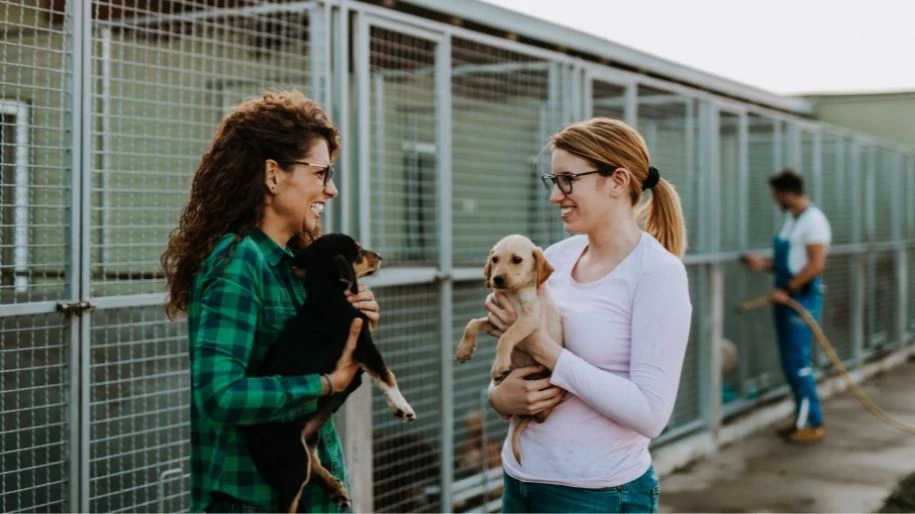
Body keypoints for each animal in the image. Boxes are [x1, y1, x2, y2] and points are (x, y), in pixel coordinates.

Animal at [243, 234, 416, 510]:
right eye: (358, 252)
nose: (379, 256)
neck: (328, 293)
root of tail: (248, 433)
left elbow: (381, 375)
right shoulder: (364, 345)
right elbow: (387, 374)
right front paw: (402, 407)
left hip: (308, 437)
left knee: (313, 464)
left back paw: (335, 487)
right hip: (291, 463)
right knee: (292, 496)